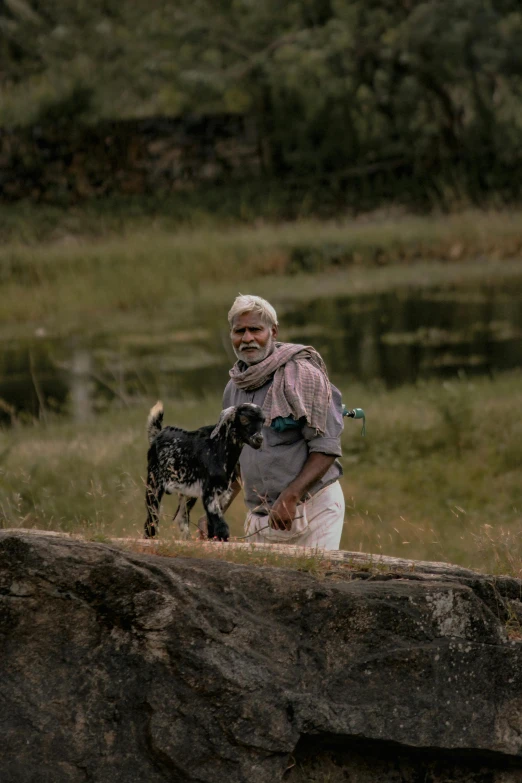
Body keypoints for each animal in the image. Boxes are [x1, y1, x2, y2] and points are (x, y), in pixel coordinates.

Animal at [143, 402, 262, 544]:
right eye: (244, 419)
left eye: (263, 421)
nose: (259, 439)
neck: (217, 448)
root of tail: (157, 436)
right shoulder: (209, 493)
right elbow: (221, 527)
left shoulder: (223, 494)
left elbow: (211, 526)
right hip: (154, 484)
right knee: (152, 519)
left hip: (187, 493)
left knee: (180, 517)